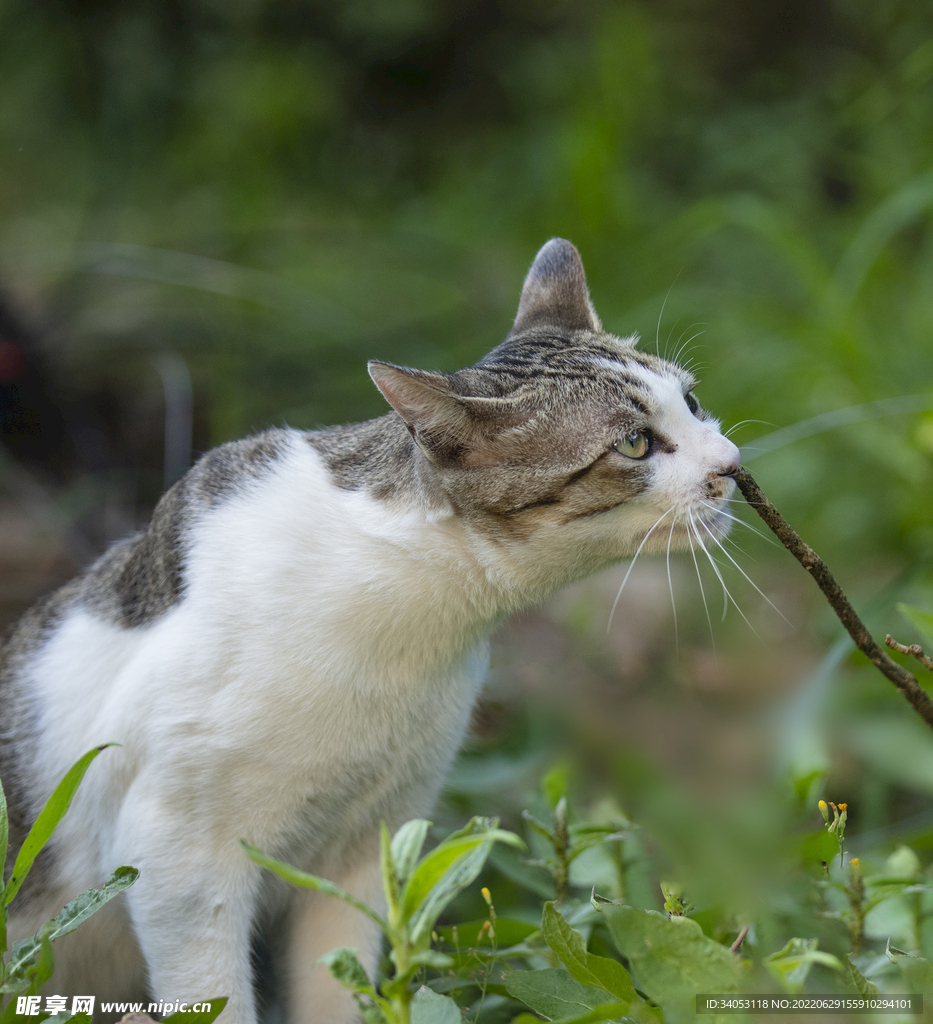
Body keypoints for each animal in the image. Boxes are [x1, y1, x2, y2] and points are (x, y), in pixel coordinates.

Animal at [3, 235, 741, 1019]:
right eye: (633, 443)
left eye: (691, 401)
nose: (731, 464)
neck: (410, 623)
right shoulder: (178, 858)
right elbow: (212, 993)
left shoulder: (367, 843)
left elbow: (339, 986)